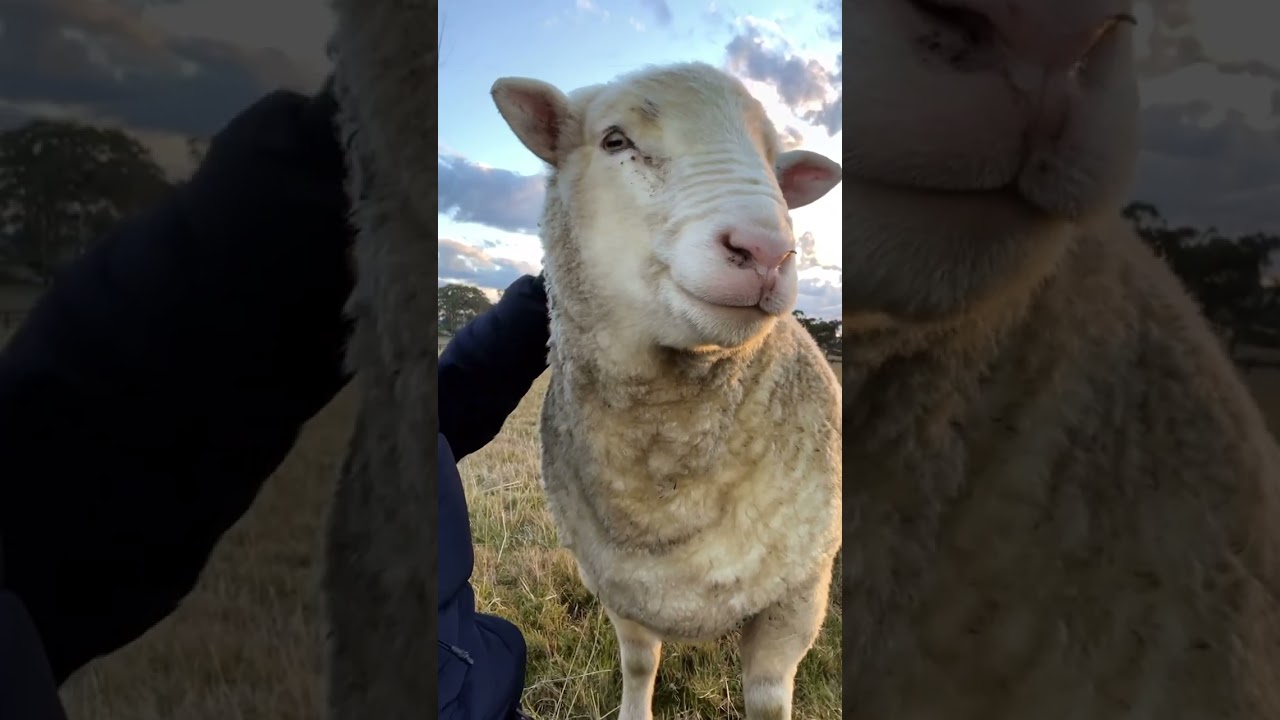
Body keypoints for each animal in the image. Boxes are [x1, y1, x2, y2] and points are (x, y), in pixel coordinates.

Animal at [490, 62, 844, 720]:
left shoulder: (796, 593)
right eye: (614, 141)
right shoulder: (621, 588)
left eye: (774, 164)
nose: (766, 250)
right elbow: (638, 663)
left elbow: (765, 698)